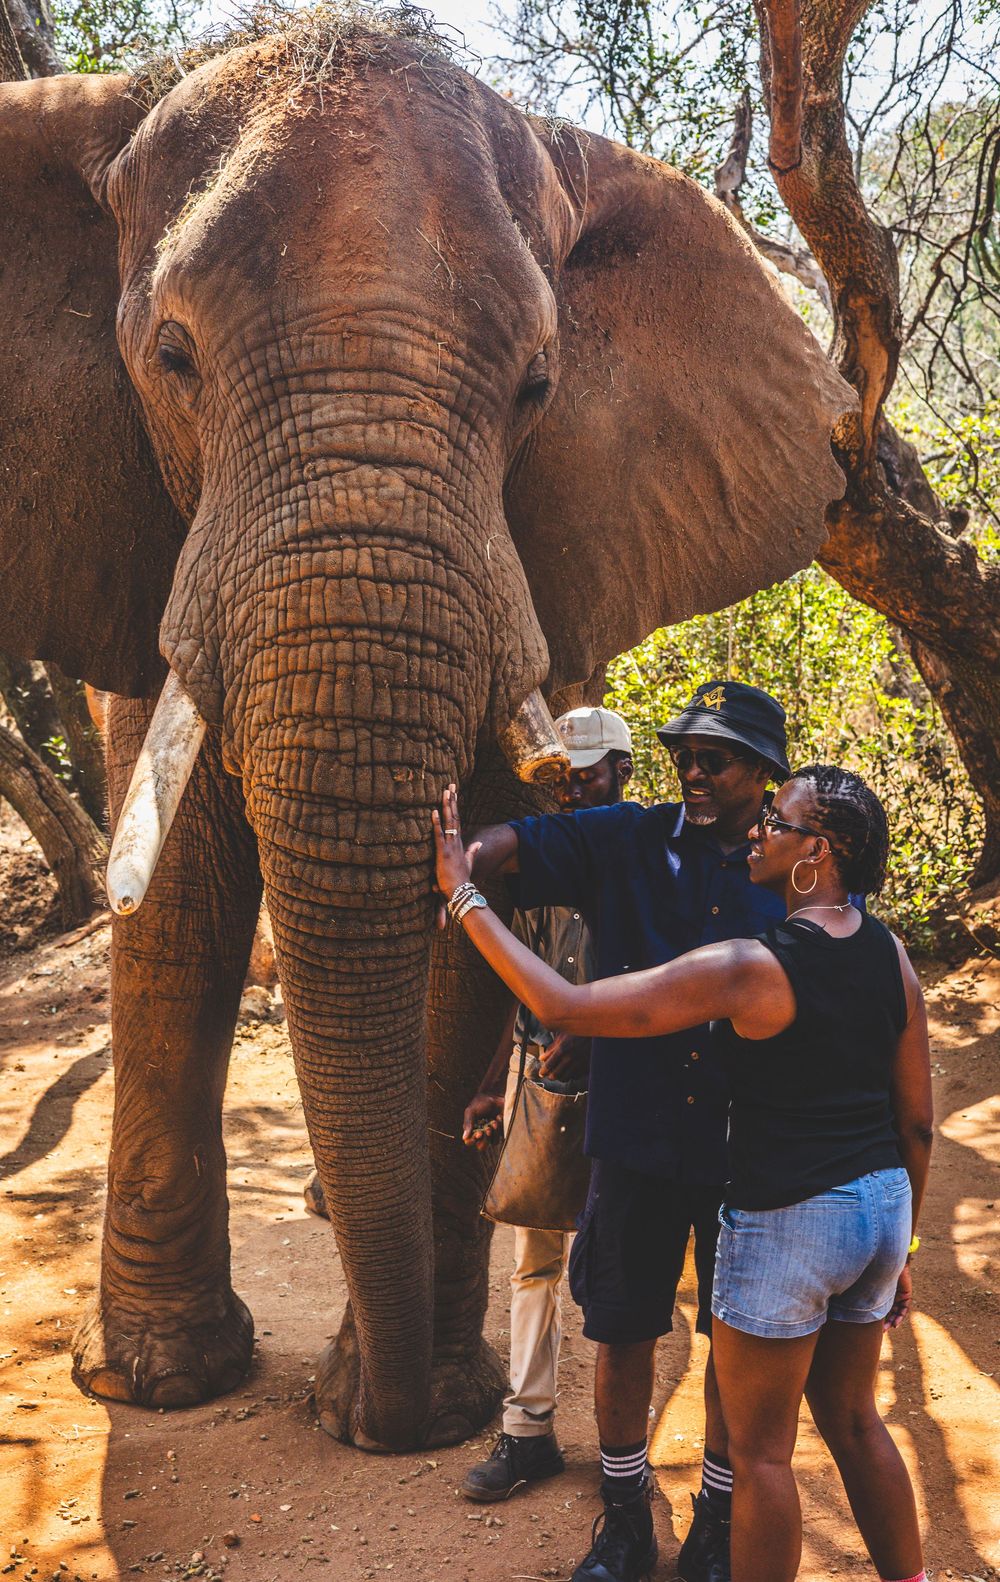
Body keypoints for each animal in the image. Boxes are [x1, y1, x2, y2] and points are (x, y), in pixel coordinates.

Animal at [0, 9, 853, 1452]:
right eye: (170, 358)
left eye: (538, 385)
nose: (387, 1421)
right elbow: (178, 894)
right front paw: (159, 1384)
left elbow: (491, 916)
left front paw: (425, 1408)